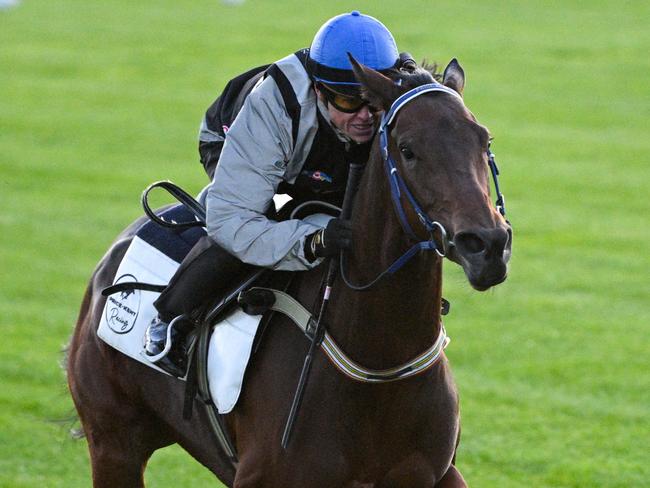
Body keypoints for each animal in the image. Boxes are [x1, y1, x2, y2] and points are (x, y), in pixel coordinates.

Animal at [66, 58, 512, 488]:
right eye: (408, 149)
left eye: (484, 140)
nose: (486, 245)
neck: (379, 365)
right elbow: (238, 222)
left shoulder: (437, 473)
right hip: (114, 443)